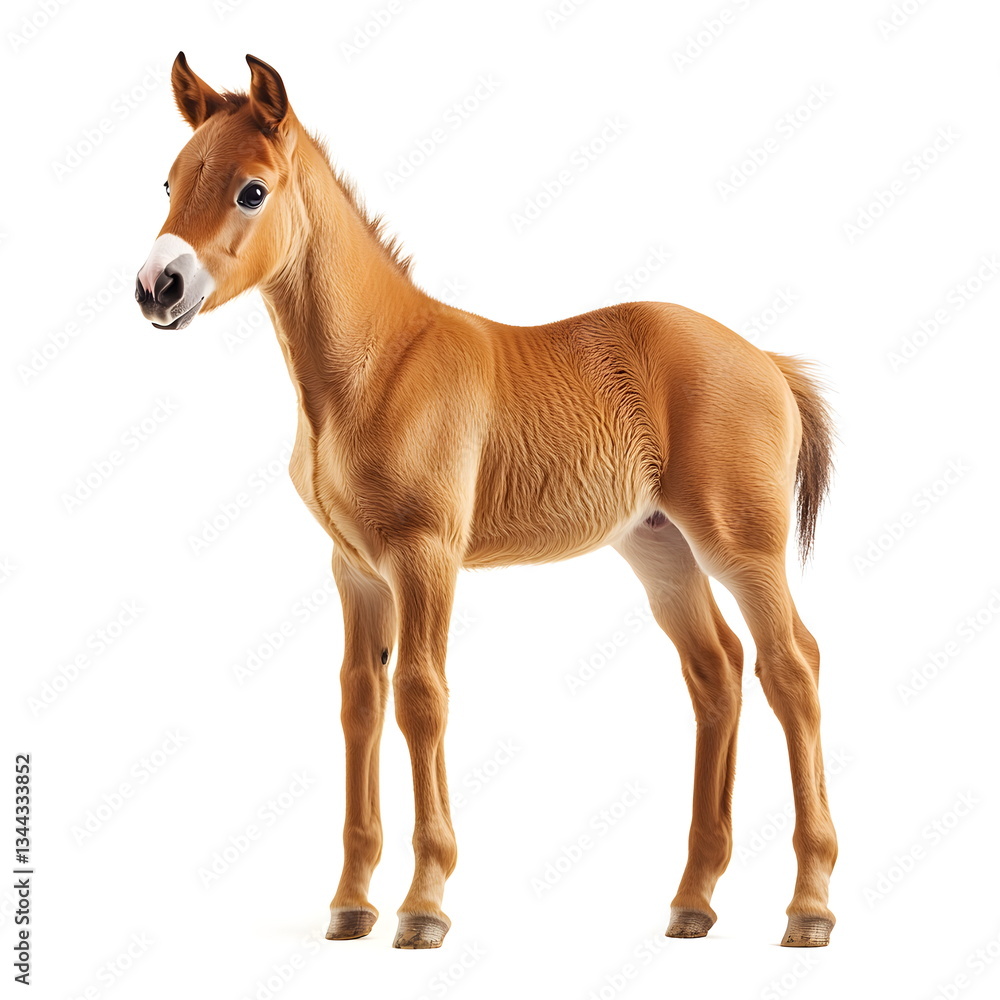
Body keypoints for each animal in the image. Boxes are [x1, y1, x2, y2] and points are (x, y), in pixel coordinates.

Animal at [136, 53, 838, 950]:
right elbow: (359, 700)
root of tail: (767, 360)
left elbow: (420, 697)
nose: (157, 287)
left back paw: (809, 905)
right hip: (659, 547)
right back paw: (693, 899)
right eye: (170, 179)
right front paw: (350, 903)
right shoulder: (354, 569)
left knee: (793, 665)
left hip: (739, 541)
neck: (375, 364)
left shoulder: (425, 555)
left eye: (251, 190)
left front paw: (423, 904)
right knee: (717, 670)